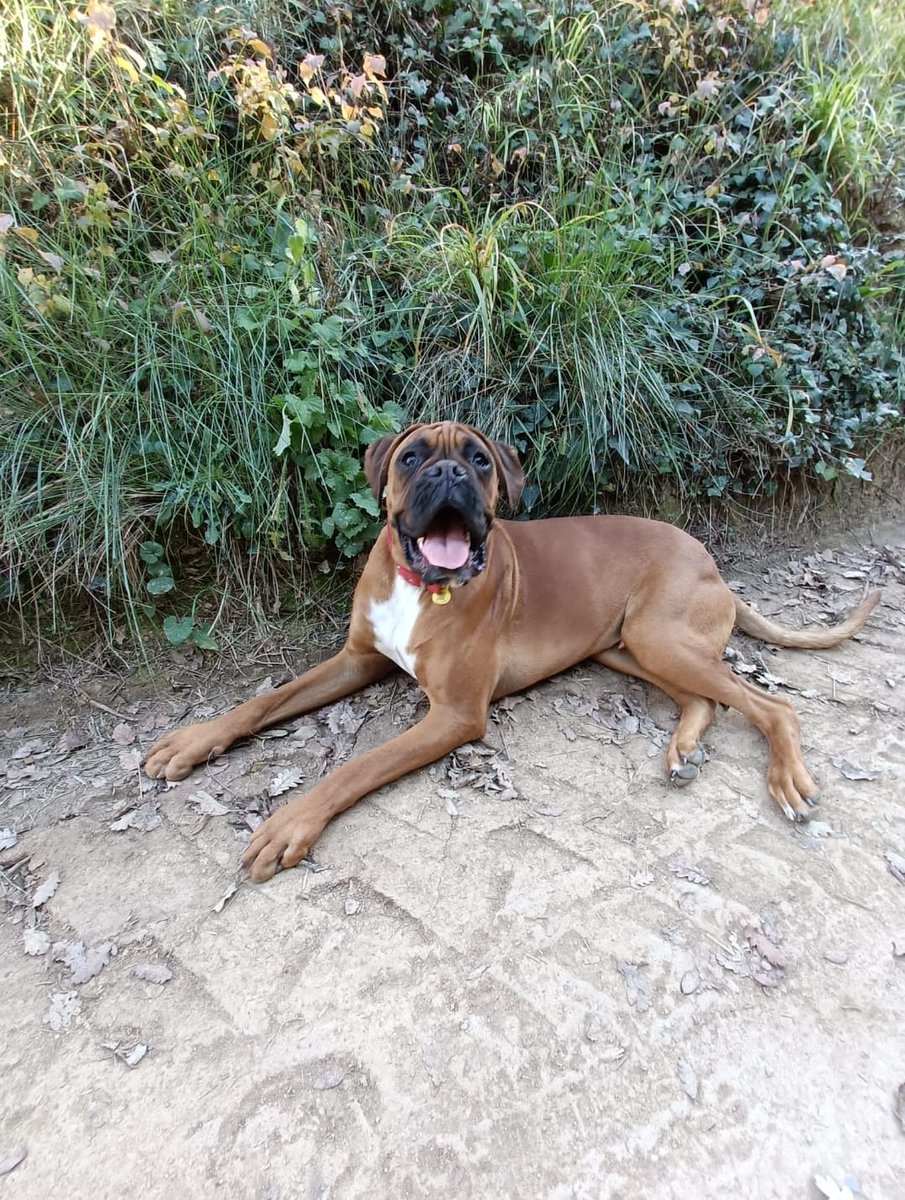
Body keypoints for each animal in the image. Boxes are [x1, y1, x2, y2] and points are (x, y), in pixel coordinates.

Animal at [144, 422, 881, 881]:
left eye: (477, 459)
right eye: (411, 457)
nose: (448, 471)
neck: (424, 584)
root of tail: (709, 560)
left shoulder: (453, 716)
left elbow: (355, 767)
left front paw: (289, 823)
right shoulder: (358, 659)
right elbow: (267, 700)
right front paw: (195, 741)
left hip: (659, 638)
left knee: (771, 706)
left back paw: (785, 780)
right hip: (626, 649)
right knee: (706, 699)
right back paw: (681, 750)